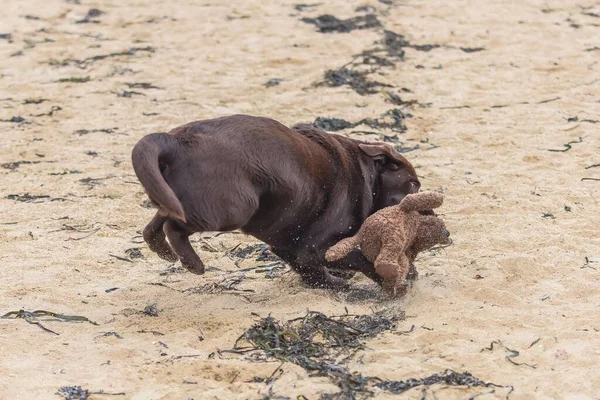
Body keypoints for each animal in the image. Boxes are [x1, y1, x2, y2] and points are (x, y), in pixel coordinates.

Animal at [132, 114, 422, 290]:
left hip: (178, 196)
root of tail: (174, 139)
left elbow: (311, 271)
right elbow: (359, 260)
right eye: (414, 185)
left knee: (158, 221)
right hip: (233, 208)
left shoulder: (291, 247)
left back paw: (163, 250)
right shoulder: (318, 247)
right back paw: (192, 263)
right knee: (174, 226)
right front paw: (400, 280)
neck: (367, 177)